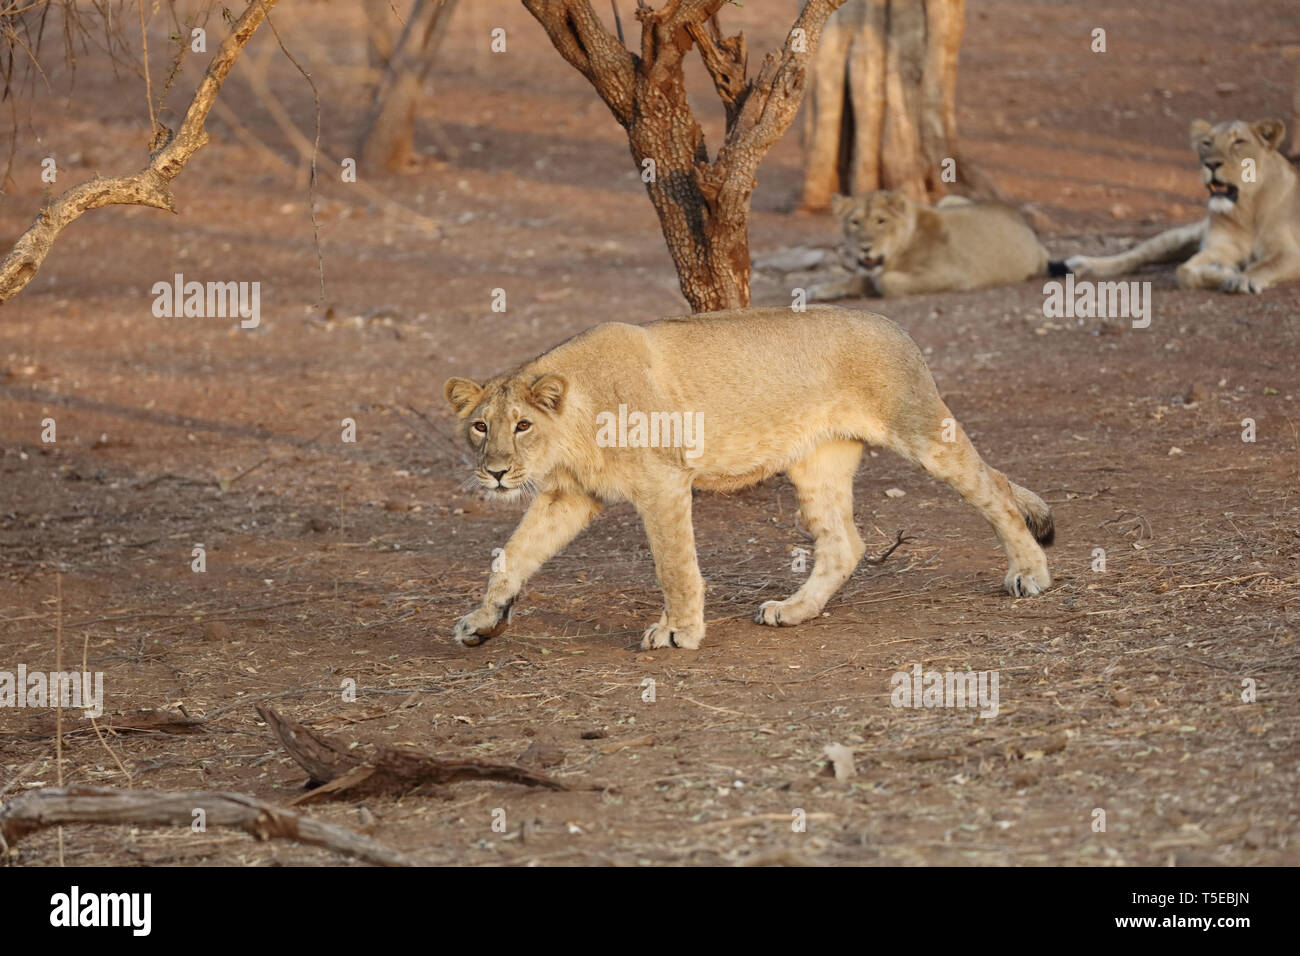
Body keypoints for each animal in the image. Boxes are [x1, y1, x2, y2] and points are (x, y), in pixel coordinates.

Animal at [441, 306, 1050, 650]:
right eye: (480, 426)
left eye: (522, 425)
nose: (496, 473)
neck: (574, 422)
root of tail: (892, 323)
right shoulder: (570, 495)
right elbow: (512, 556)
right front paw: (483, 621)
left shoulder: (663, 483)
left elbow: (674, 566)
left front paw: (679, 631)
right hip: (816, 462)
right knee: (844, 544)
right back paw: (795, 610)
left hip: (920, 428)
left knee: (995, 487)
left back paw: (1030, 574)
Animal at [1055, 118, 1300, 293]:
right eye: (1207, 143)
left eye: (1238, 142)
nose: (1211, 164)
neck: (1246, 209)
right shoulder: (1218, 248)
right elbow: (1183, 271)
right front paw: (1225, 272)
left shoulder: (1291, 252)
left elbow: (1264, 265)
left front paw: (1241, 277)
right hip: (1174, 238)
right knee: (1133, 257)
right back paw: (1081, 264)